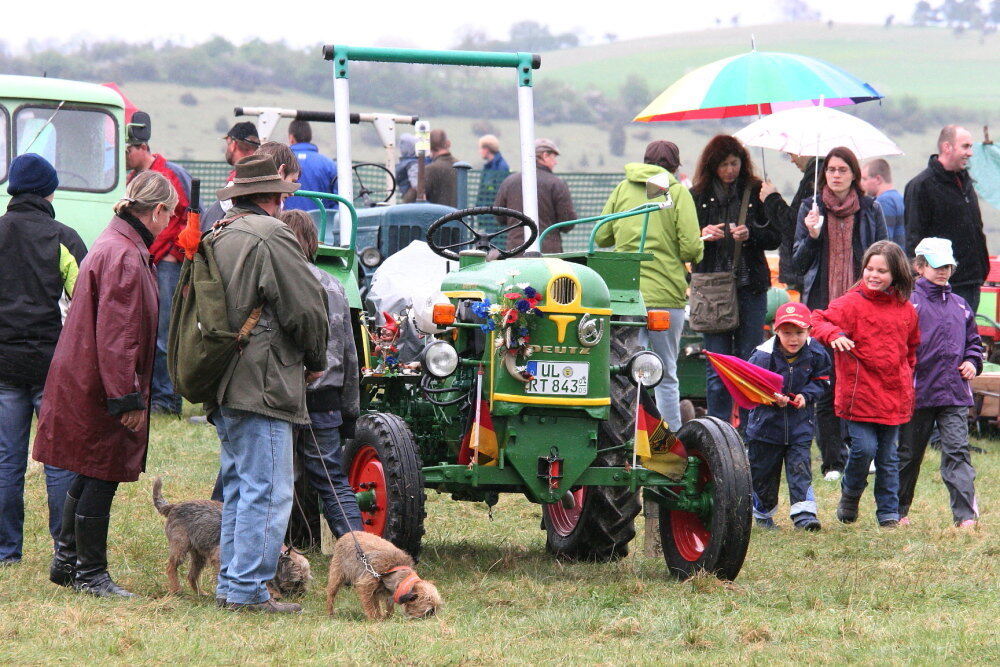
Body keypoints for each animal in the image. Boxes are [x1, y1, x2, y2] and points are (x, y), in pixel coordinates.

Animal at [150, 480, 308, 600]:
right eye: (296, 582)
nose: (302, 594)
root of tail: (174, 506)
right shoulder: (219, 557)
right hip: (181, 546)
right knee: (171, 567)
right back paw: (177, 589)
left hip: (199, 556)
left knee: (191, 575)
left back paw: (200, 593)